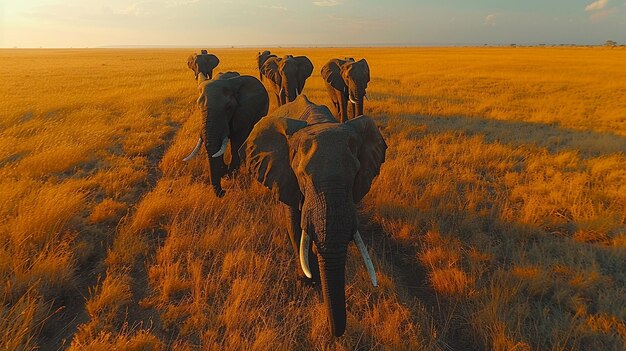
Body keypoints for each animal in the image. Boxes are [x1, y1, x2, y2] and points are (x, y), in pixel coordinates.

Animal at [239, 95, 386, 336]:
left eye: (355, 174)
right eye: (302, 175)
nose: (333, 331)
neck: (318, 123)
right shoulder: (286, 176)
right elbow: (294, 223)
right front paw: (308, 282)